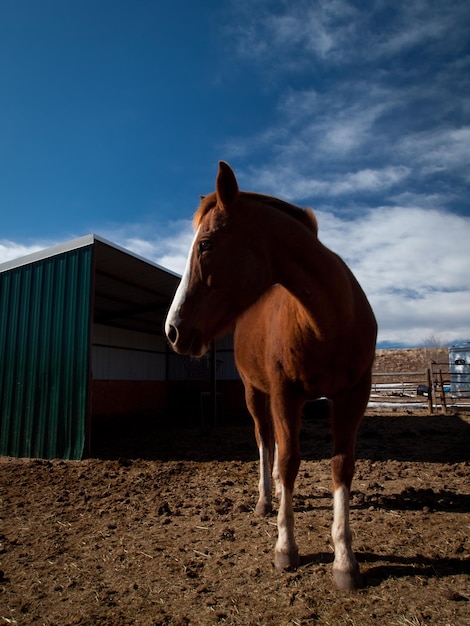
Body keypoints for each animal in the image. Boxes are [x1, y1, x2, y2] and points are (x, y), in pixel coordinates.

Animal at [163, 160, 376, 584]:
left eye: (205, 244)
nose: (173, 329)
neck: (329, 321)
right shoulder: (283, 393)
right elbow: (288, 460)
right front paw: (286, 547)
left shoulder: (353, 396)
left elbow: (341, 465)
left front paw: (345, 560)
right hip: (256, 394)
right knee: (265, 441)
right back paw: (265, 498)